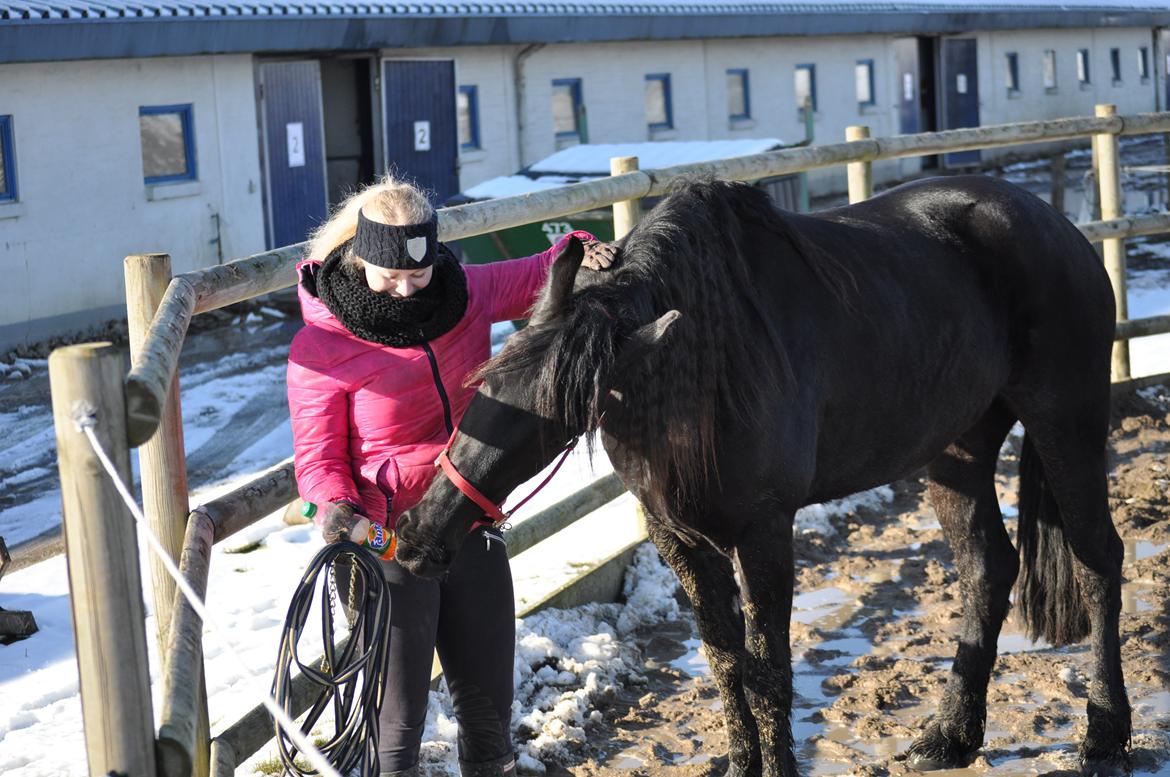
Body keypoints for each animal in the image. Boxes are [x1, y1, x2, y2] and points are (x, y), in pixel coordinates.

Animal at [395, 177, 1132, 777]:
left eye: (554, 420)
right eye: (484, 386)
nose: (417, 535)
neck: (704, 364)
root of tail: (1055, 224)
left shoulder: (764, 532)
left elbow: (770, 671)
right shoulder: (678, 538)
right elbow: (726, 661)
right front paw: (742, 760)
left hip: (1065, 421)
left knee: (1098, 559)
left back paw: (1103, 735)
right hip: (961, 447)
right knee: (987, 569)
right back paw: (950, 735)